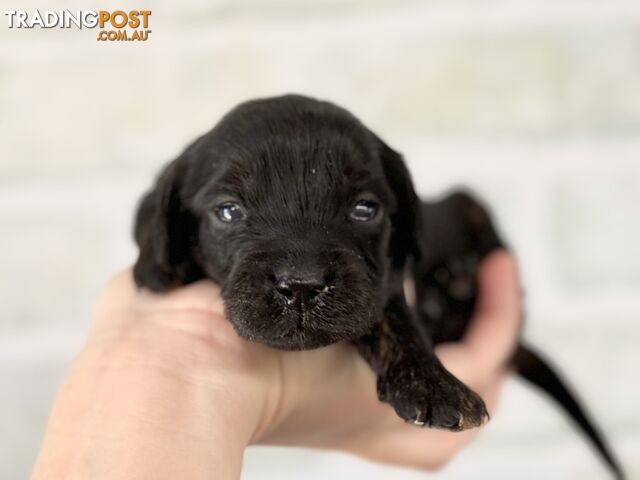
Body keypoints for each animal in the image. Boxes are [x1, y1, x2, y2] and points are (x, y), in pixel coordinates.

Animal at [134, 95, 620, 478]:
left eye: (364, 209)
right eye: (228, 211)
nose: (303, 285)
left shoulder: (383, 282)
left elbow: (394, 320)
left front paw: (435, 386)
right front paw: (153, 266)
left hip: (471, 206)